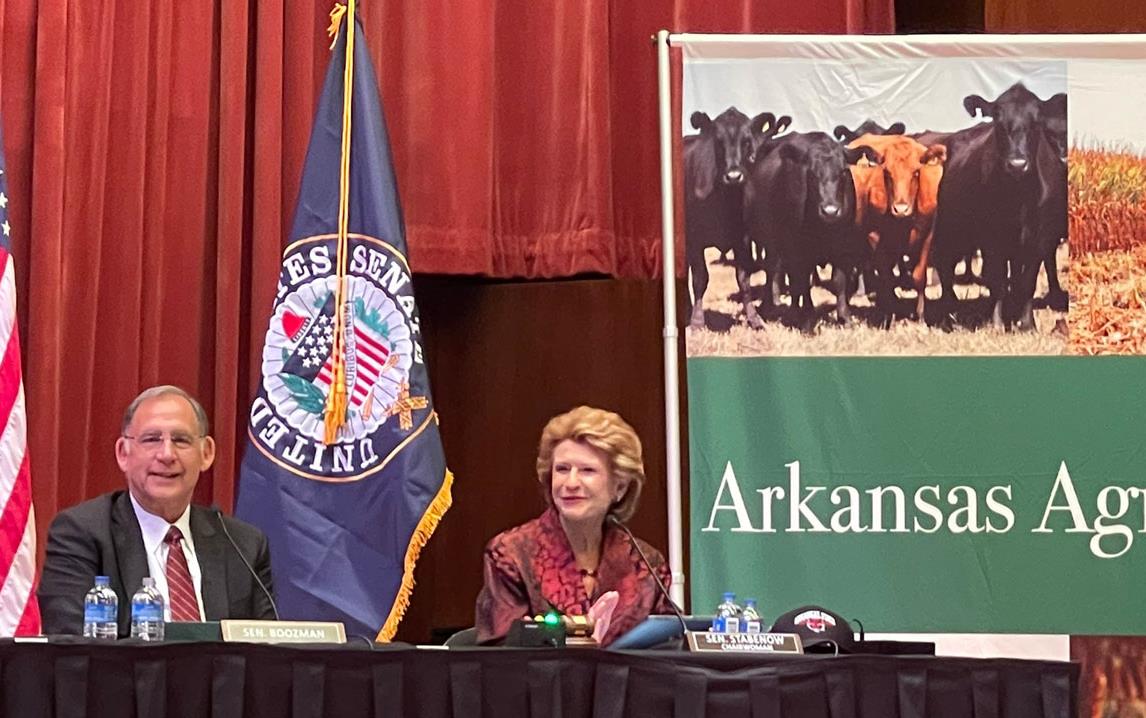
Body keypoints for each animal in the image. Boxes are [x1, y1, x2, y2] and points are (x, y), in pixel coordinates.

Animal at [683, 107, 793, 329]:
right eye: (718, 141)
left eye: (747, 141)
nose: (733, 176)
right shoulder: (694, 239)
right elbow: (700, 279)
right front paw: (697, 321)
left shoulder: (742, 238)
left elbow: (744, 278)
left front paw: (754, 318)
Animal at [742, 132, 875, 334]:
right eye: (812, 173)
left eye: (843, 171)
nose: (830, 211)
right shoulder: (798, 249)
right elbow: (803, 281)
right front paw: (806, 320)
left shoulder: (843, 246)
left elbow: (839, 281)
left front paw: (844, 318)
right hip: (770, 242)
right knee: (773, 271)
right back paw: (769, 307)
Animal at [848, 132, 944, 325]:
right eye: (887, 173)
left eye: (916, 172)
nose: (900, 209)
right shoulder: (874, 237)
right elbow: (887, 278)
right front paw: (889, 316)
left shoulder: (927, 235)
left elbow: (919, 277)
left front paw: (921, 318)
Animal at [925, 82, 1049, 332]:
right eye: (998, 122)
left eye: (1036, 121)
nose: (1017, 164)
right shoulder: (991, 240)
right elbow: (997, 280)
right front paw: (998, 324)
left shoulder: (1037, 240)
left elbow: (1027, 282)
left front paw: (1027, 324)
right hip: (950, 230)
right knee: (945, 267)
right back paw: (950, 310)